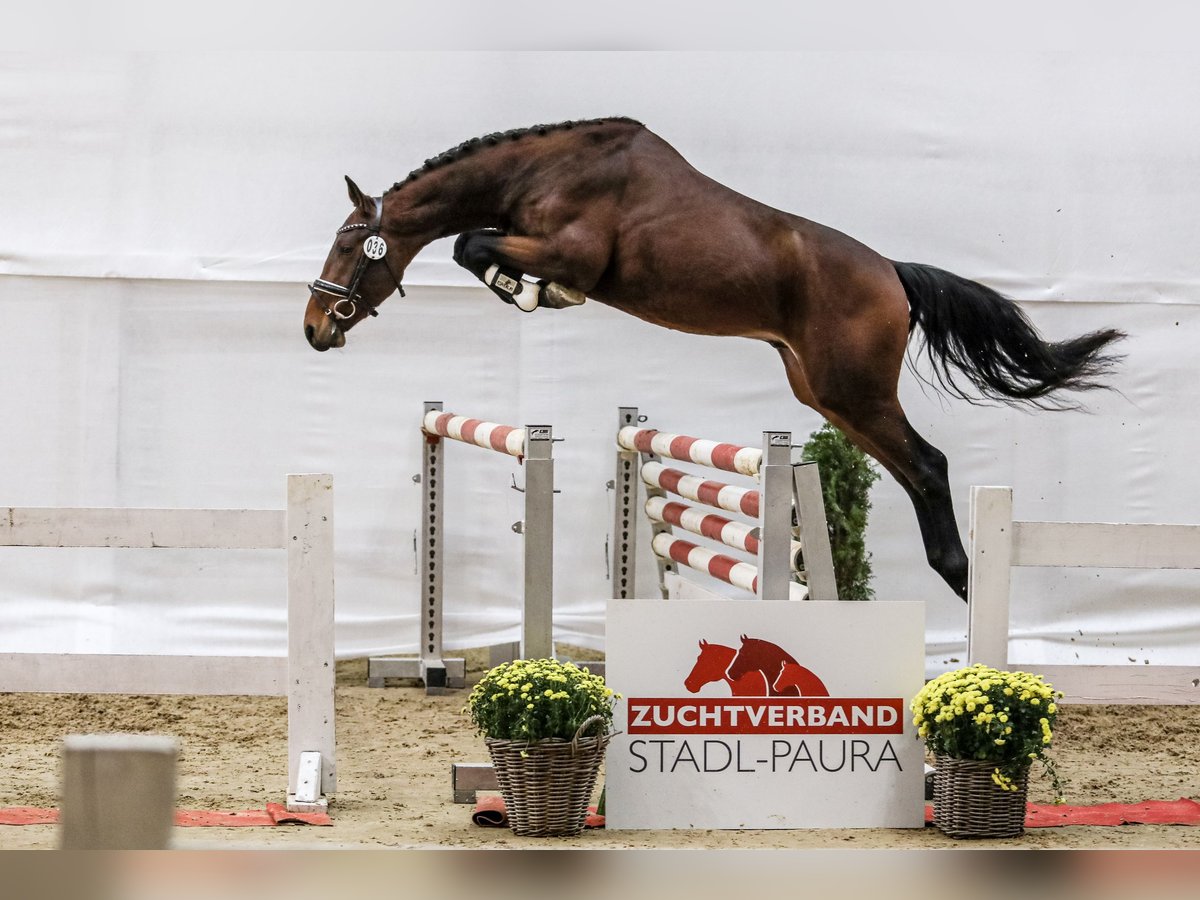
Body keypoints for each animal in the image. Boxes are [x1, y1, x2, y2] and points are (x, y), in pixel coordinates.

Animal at [302, 116, 1123, 602]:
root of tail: (892, 273)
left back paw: (961, 582)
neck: (541, 172)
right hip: (826, 396)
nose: (313, 327)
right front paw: (527, 291)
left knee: (929, 465)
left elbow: (474, 244)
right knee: (915, 470)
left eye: (349, 244)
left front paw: (534, 293)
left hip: (853, 390)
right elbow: (474, 244)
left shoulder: (571, 249)